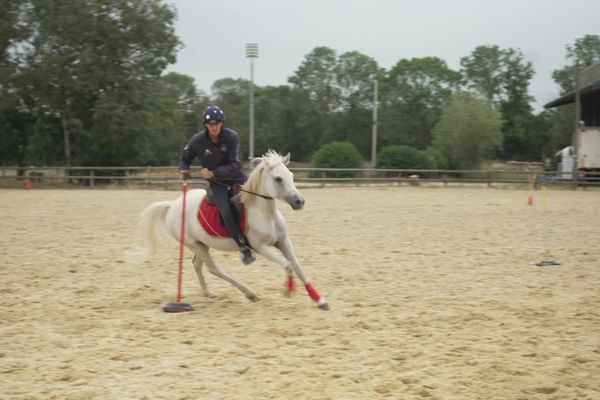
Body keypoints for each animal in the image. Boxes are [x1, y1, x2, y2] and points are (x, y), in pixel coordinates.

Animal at [138, 150, 328, 310]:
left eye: (291, 175)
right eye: (278, 179)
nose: (299, 202)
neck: (264, 212)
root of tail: (172, 205)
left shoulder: (283, 242)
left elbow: (297, 266)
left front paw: (319, 300)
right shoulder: (262, 248)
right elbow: (288, 265)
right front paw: (288, 290)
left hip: (202, 244)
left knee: (198, 265)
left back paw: (208, 293)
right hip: (194, 244)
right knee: (213, 269)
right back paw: (250, 294)